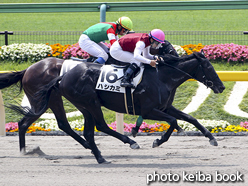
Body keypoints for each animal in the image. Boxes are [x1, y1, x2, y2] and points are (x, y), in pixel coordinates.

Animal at [7, 51, 225, 163]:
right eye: (209, 68)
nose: (221, 86)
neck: (161, 77)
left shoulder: (164, 107)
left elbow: (190, 118)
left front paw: (212, 138)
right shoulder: (148, 111)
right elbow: (173, 122)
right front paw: (157, 141)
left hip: (71, 103)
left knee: (68, 126)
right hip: (79, 102)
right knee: (96, 126)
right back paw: (126, 143)